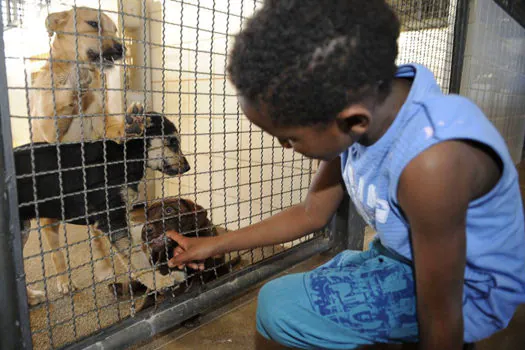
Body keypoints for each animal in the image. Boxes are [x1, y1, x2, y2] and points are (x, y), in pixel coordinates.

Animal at [14, 111, 190, 304]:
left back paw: (30, 298)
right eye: (173, 141)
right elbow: (136, 257)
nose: (188, 167)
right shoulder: (113, 220)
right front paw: (160, 281)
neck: (125, 157)